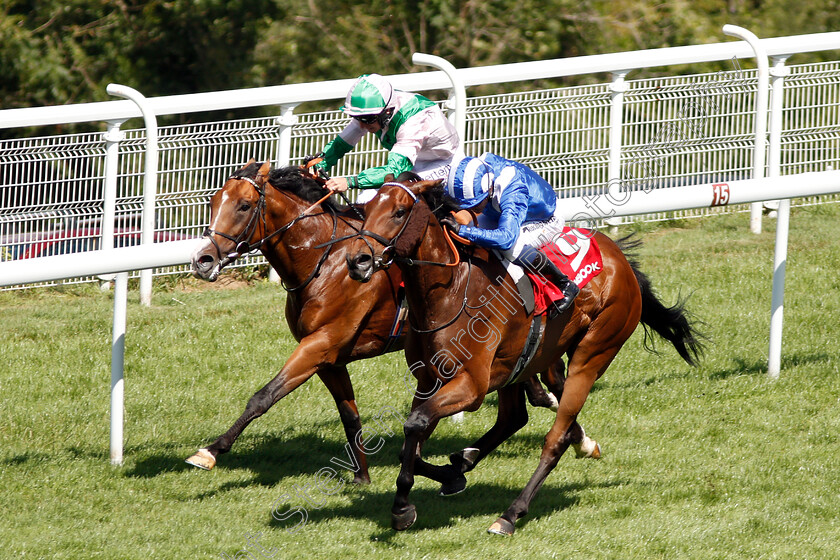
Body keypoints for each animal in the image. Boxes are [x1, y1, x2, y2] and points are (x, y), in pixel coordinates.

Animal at [184, 161, 564, 482]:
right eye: (213, 201)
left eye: (244, 205)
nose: (203, 260)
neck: (323, 261)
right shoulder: (328, 357)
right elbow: (349, 414)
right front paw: (362, 476)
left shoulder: (320, 343)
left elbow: (264, 396)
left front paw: (210, 451)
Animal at [344, 179, 704, 532]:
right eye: (365, 209)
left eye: (399, 211)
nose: (357, 260)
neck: (449, 293)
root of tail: (621, 260)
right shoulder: (429, 381)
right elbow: (412, 439)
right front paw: (446, 476)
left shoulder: (471, 386)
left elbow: (415, 425)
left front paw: (402, 507)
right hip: (522, 362)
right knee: (515, 417)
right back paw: (469, 461)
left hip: (593, 353)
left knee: (555, 438)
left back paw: (510, 514)